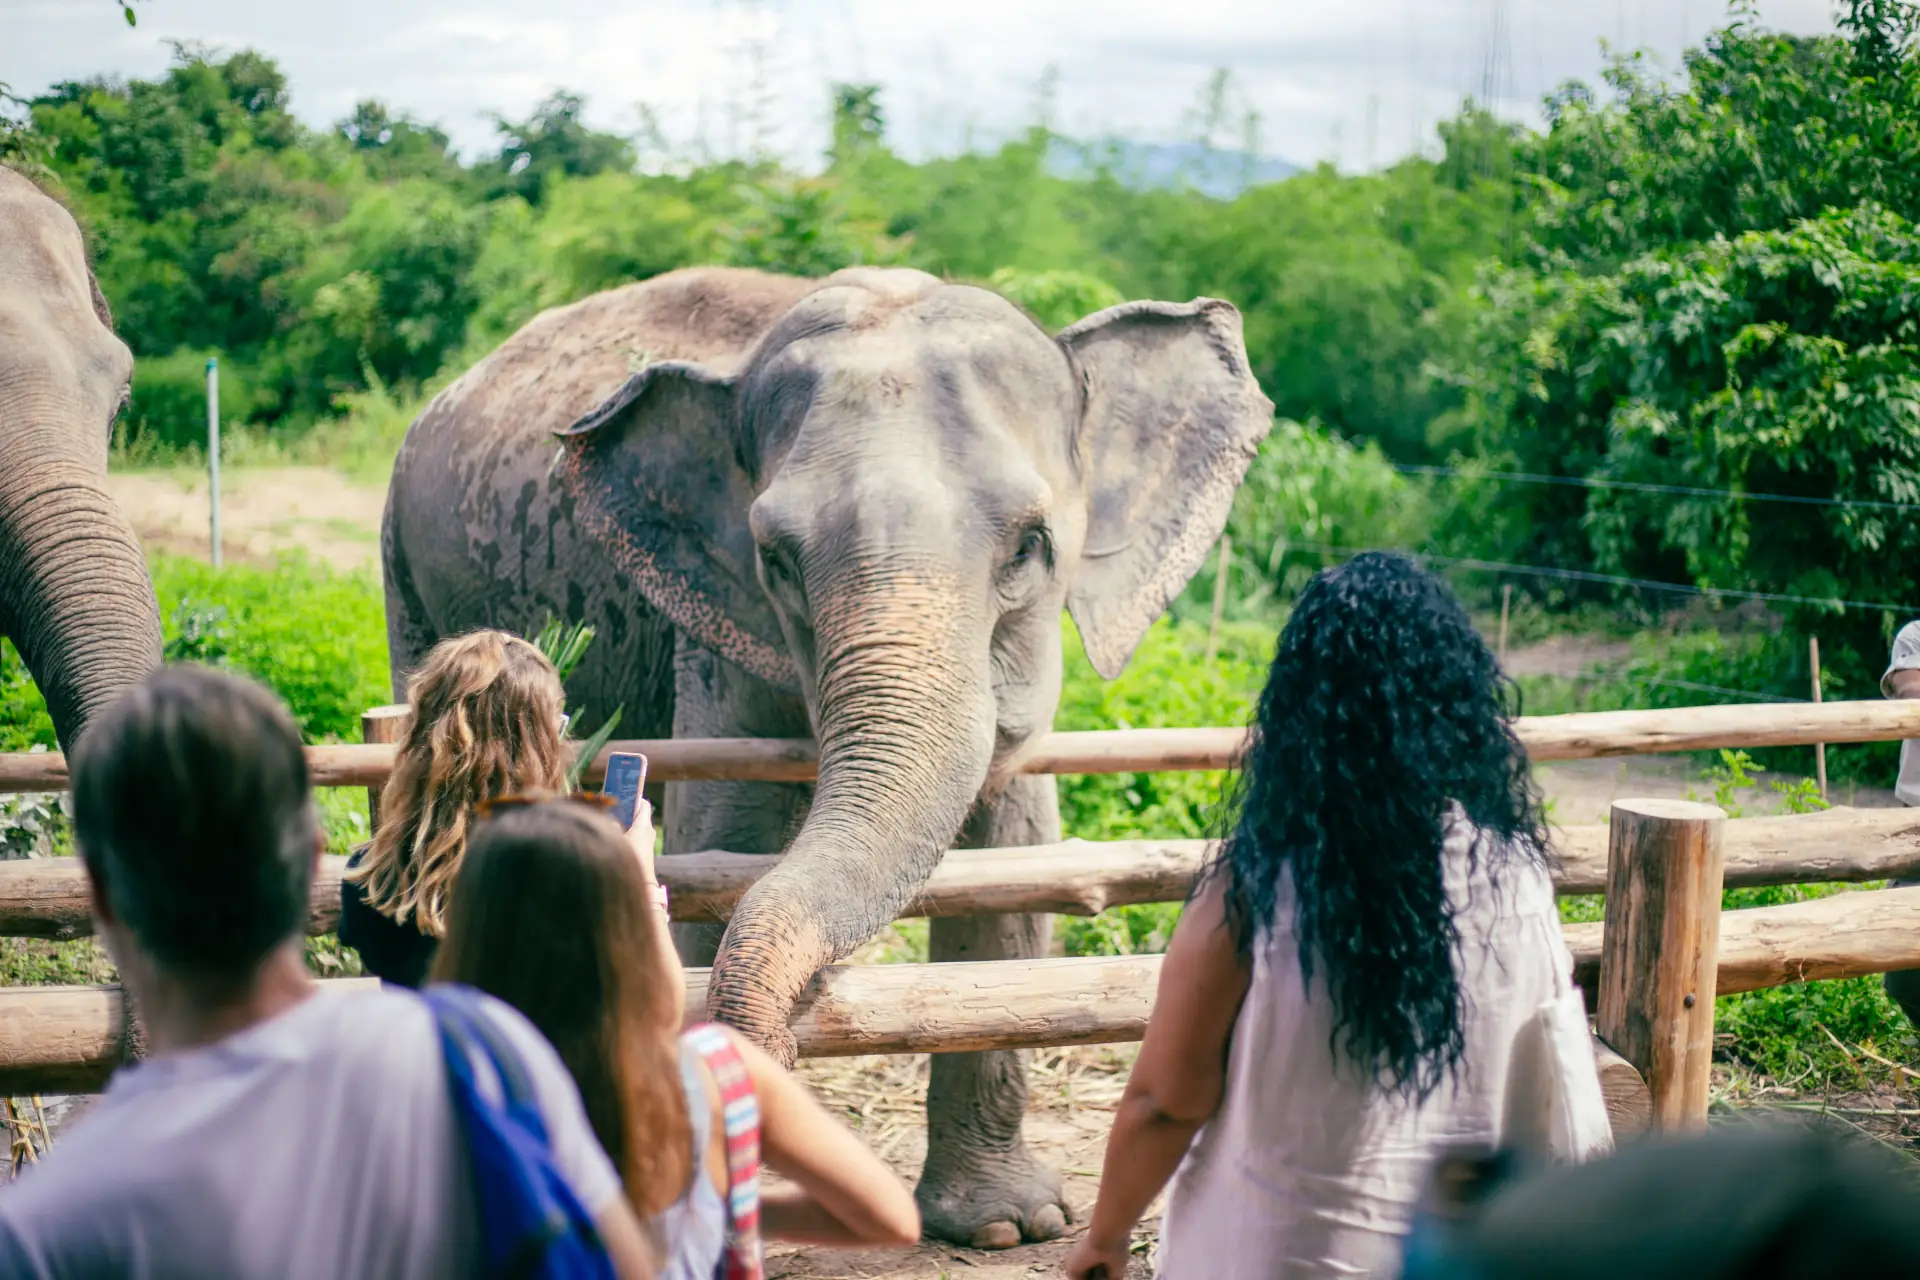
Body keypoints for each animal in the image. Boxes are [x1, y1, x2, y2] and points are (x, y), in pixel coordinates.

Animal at [381, 265, 1274, 1245]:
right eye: (774, 558)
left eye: (1030, 547)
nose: (770, 1054)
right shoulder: (716, 632)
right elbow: (722, 839)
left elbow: (1016, 854)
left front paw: (1009, 1227)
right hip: (403, 565)